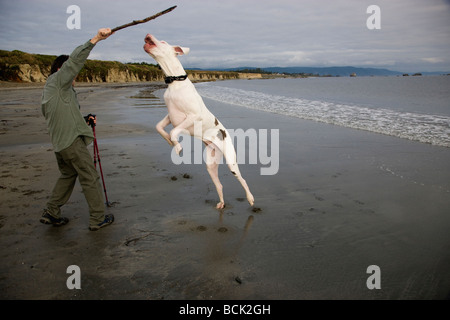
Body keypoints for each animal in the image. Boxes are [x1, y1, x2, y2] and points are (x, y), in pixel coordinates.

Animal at [145, 34, 255, 210]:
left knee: (242, 179)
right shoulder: (170, 116)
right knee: (219, 185)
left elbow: (173, 131)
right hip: (211, 164)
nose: (147, 36)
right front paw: (169, 141)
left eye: (162, 42)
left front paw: (177, 147)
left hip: (231, 162)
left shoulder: (192, 117)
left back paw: (250, 198)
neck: (175, 83)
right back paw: (222, 202)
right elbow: (159, 127)